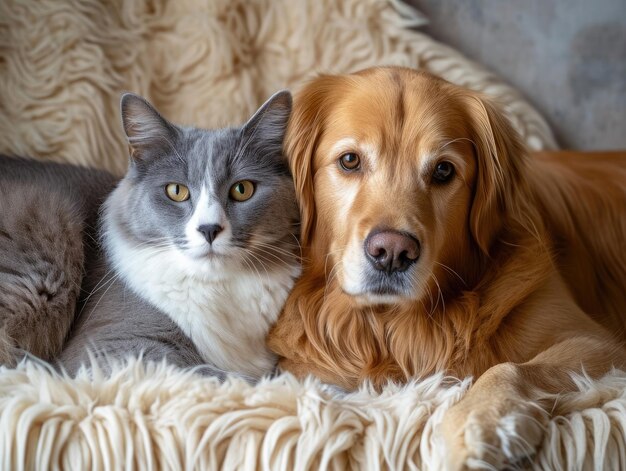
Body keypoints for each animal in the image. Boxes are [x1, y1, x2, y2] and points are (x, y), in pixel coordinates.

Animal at [0, 91, 300, 380]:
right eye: (176, 191)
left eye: (242, 189)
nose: (209, 229)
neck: (218, 288)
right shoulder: (110, 346)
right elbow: (227, 376)